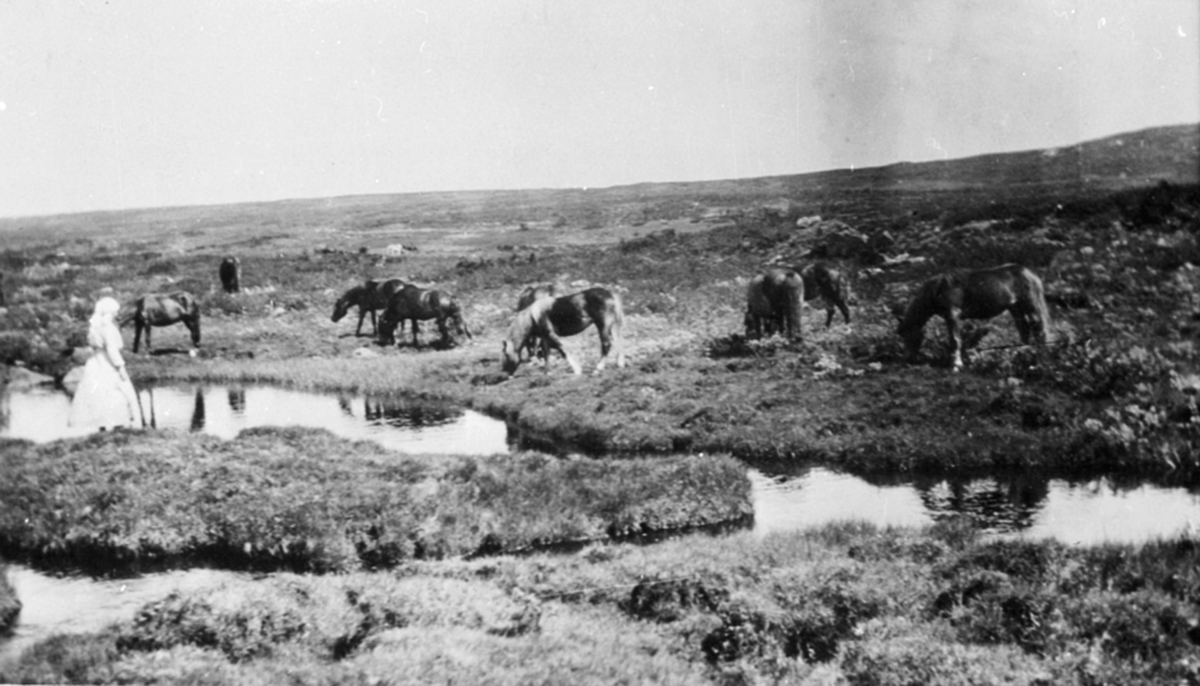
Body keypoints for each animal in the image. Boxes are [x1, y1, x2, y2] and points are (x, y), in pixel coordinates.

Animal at [892, 262, 1051, 369]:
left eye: (908, 333)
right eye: (901, 333)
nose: (906, 359)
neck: (939, 288)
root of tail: (1030, 273)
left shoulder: (953, 315)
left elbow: (955, 340)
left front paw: (956, 364)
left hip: (1031, 305)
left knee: (1039, 329)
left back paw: (1040, 355)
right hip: (1015, 308)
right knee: (1023, 328)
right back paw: (1021, 352)